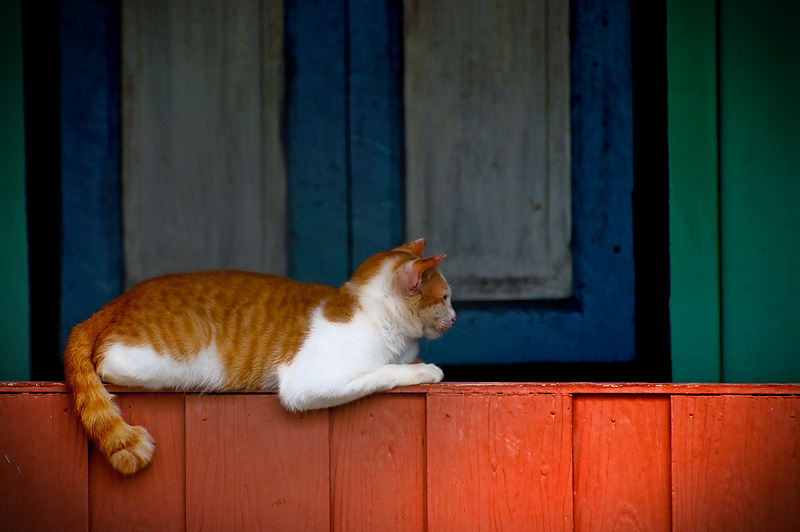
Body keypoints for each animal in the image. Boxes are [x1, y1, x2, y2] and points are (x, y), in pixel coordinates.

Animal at [63, 237, 456, 474]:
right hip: (175, 361)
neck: (371, 313)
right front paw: (424, 371)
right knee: (110, 364)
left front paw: (416, 363)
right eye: (447, 298)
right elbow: (383, 372)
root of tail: (118, 301)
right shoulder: (307, 385)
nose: (454, 317)